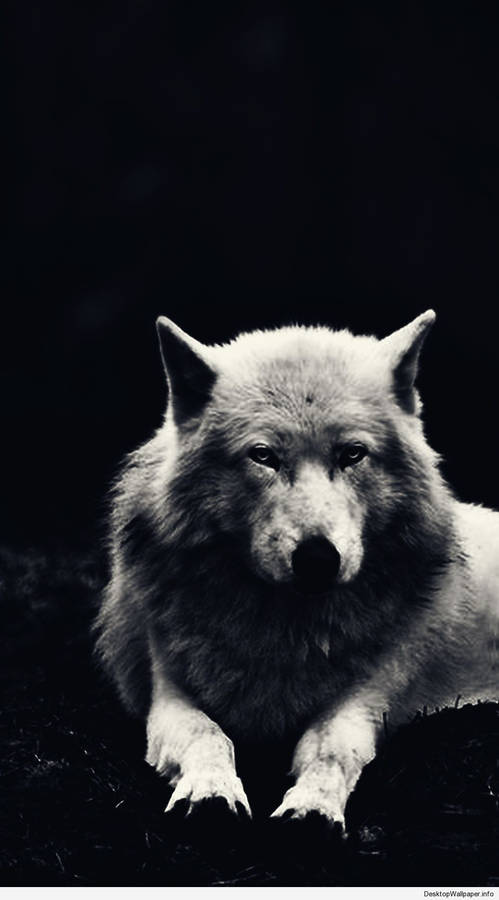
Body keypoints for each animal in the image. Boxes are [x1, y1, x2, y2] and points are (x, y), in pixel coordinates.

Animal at [95, 310, 499, 831]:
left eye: (352, 454)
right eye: (263, 455)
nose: (318, 558)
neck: (284, 631)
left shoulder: (368, 697)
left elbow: (332, 749)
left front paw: (312, 807)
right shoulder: (167, 692)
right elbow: (207, 734)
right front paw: (211, 791)